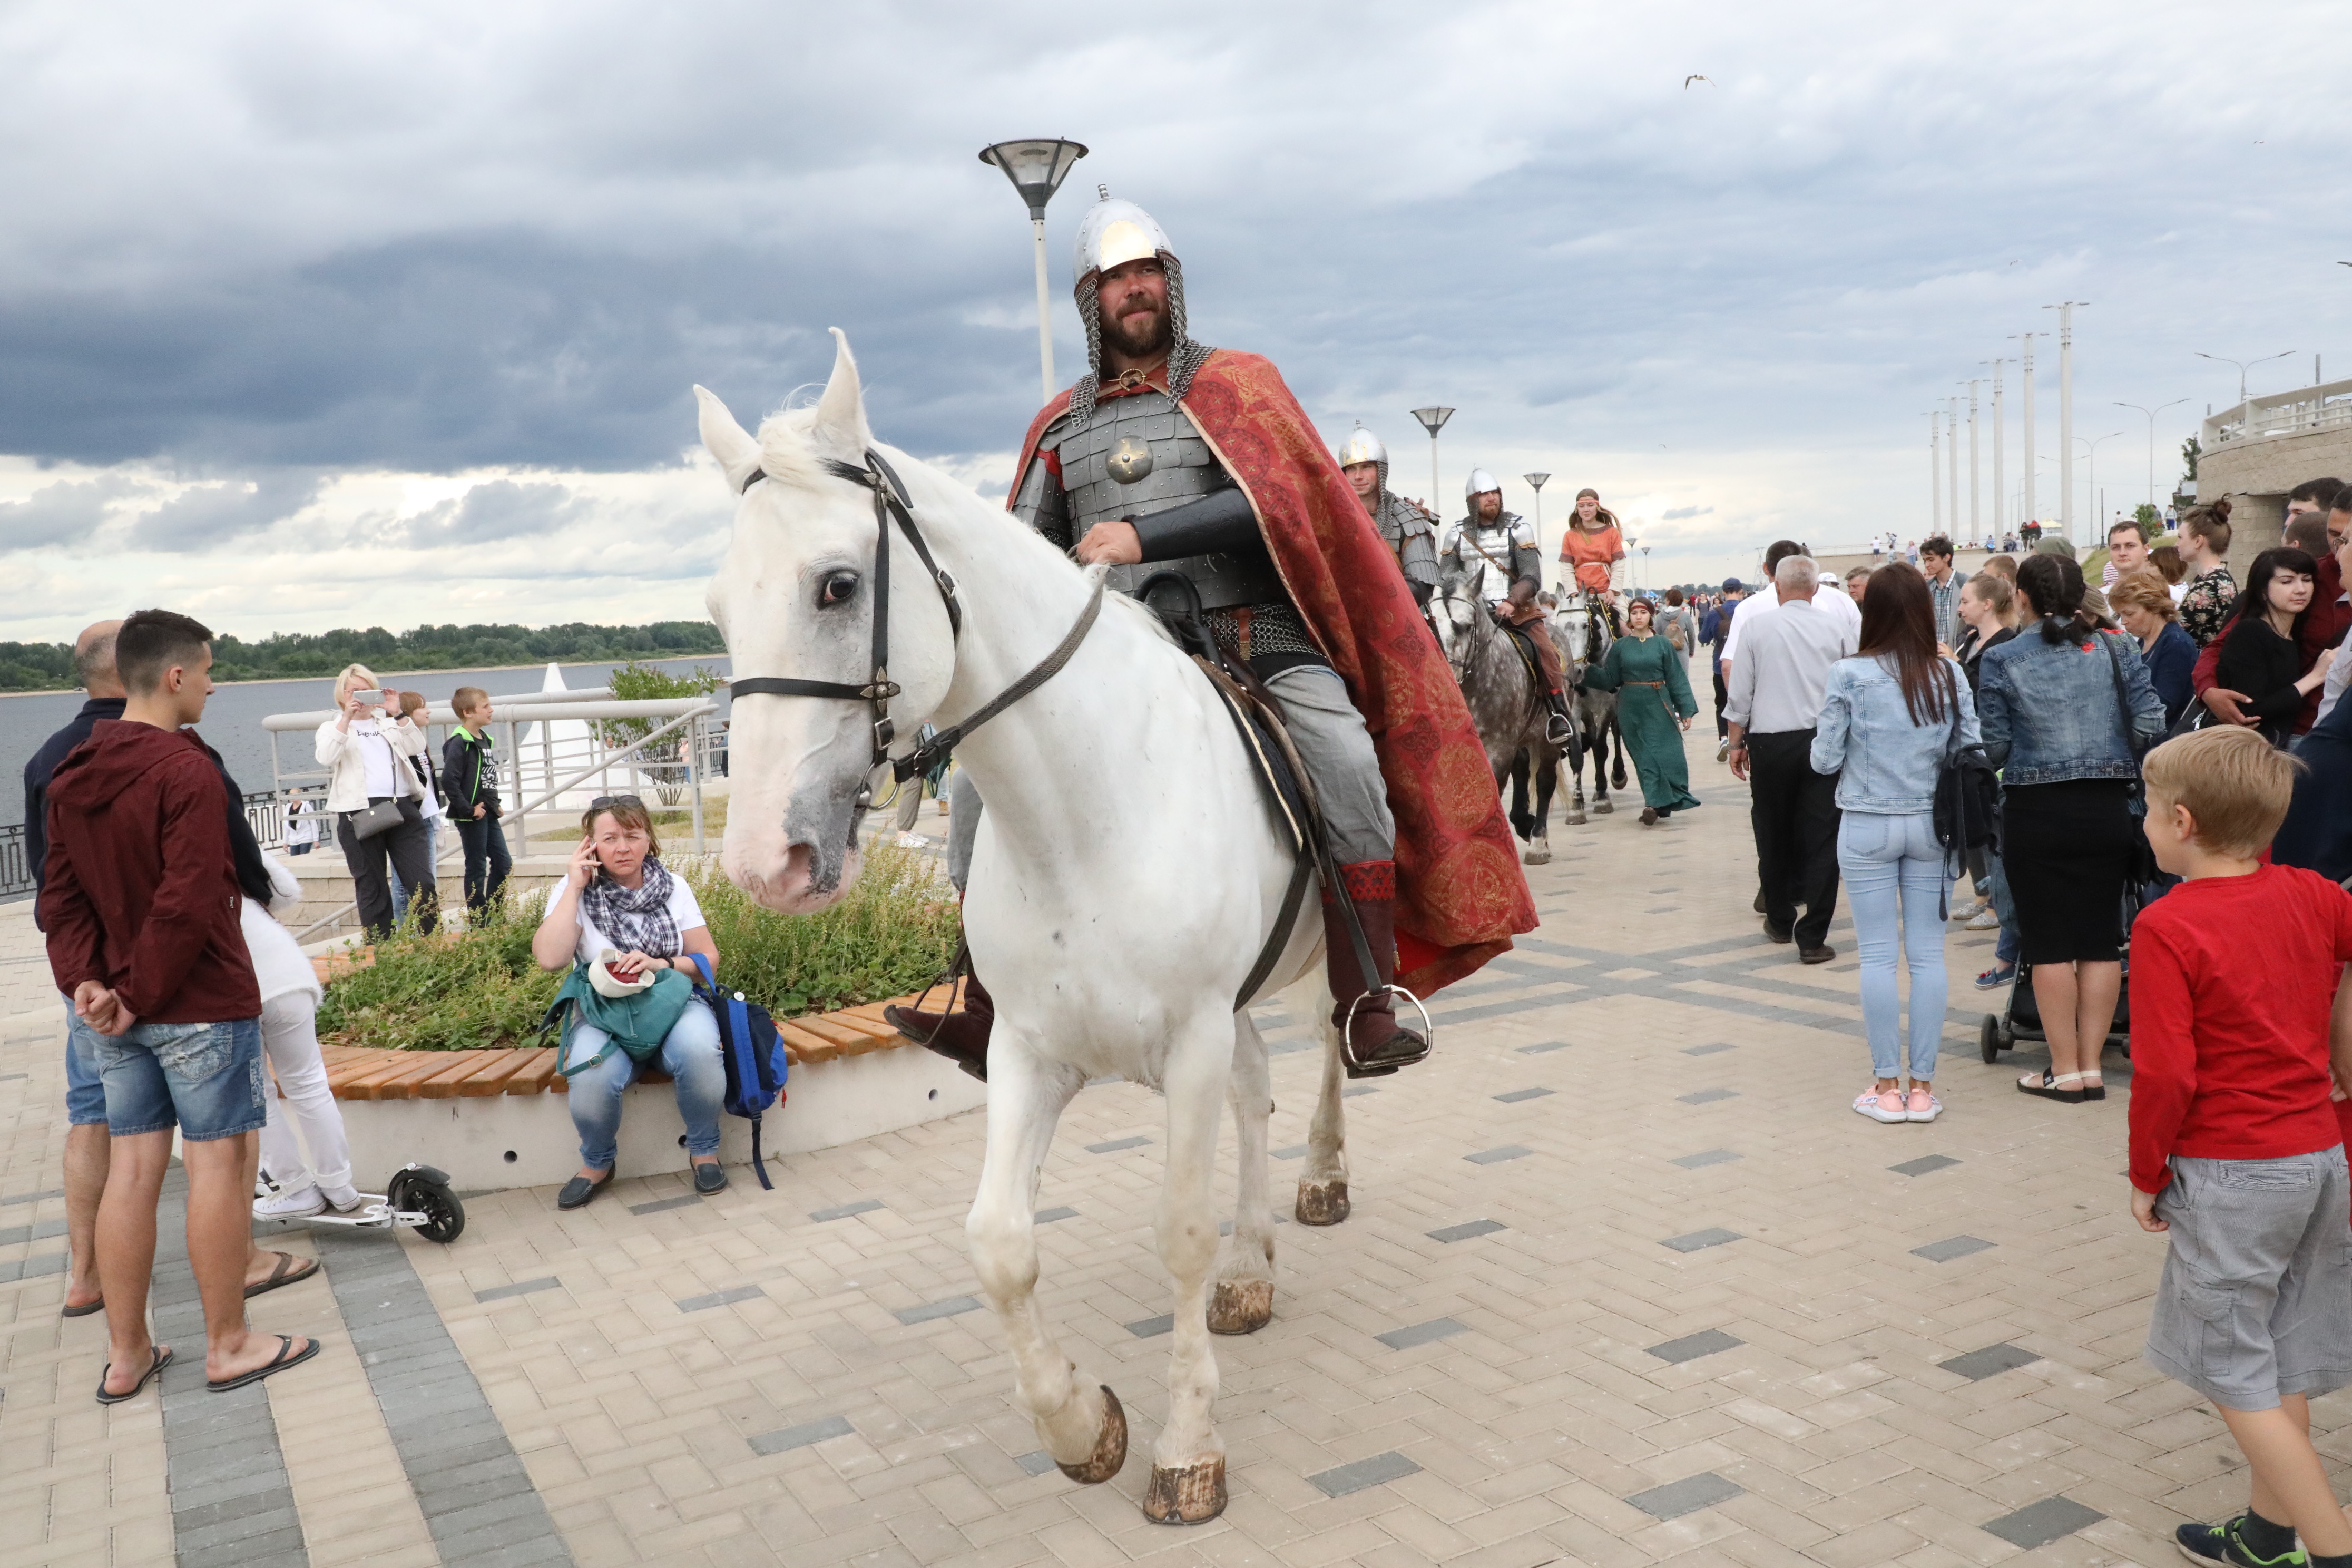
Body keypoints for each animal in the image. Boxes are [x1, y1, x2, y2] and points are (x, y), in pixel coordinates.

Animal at [701, 338, 1364, 1523]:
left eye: (837, 584)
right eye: (719, 612)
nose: (763, 864)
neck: (1085, 812)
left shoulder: (1190, 1039)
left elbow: (1177, 1233)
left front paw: (1188, 1448)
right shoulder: (1026, 1050)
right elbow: (999, 1244)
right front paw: (1081, 1423)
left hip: (1320, 959)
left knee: (1330, 1051)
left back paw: (1323, 1177)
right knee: (1258, 1093)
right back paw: (1252, 1271)